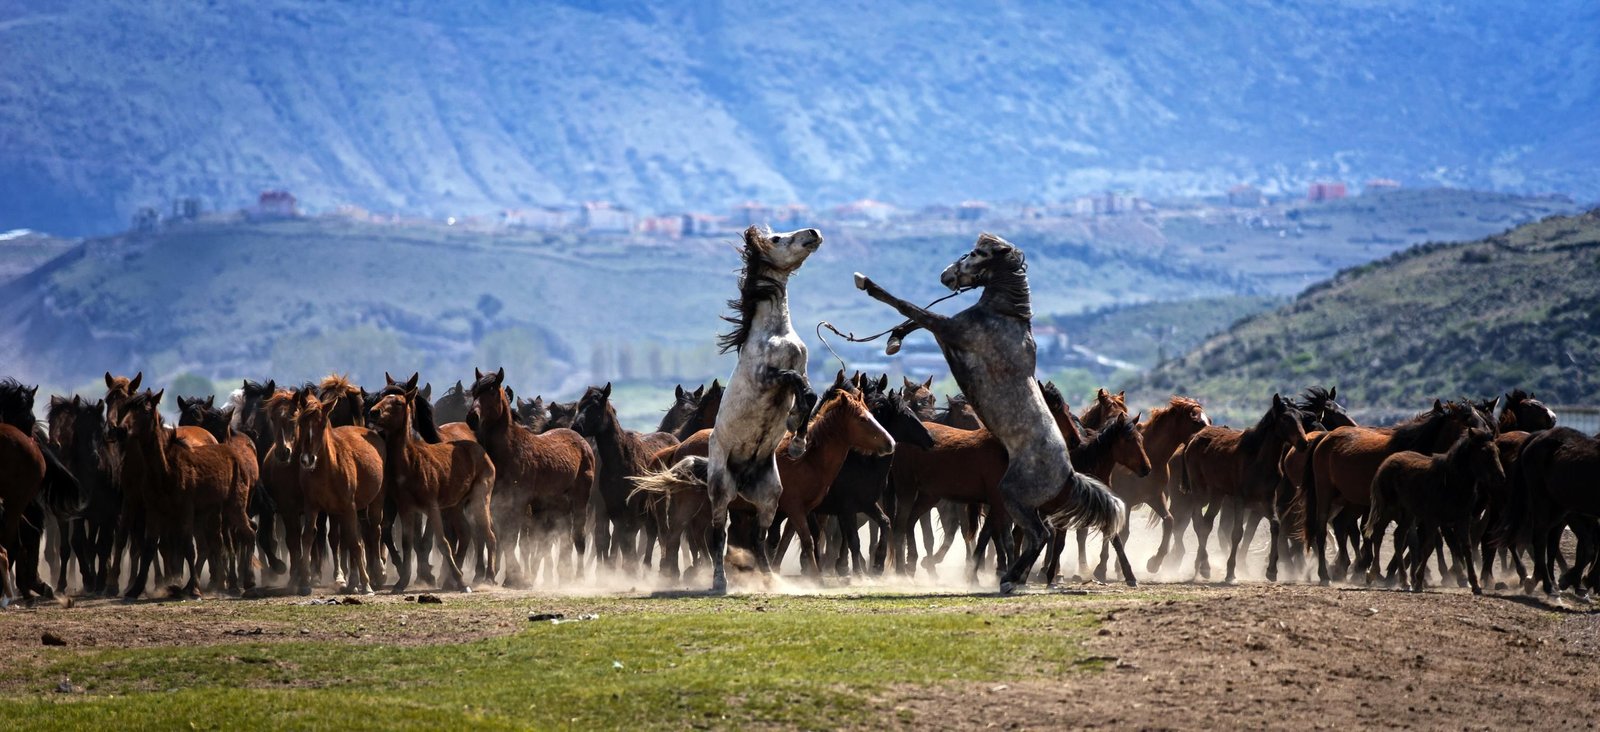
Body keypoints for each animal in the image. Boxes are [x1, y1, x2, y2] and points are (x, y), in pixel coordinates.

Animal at [368, 388, 492, 588]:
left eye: (399, 403)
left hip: (479, 501)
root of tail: (481, 450)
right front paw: (402, 581)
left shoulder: (432, 506)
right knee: (466, 533)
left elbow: (442, 542)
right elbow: (407, 542)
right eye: (381, 398)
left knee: (487, 535)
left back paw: (487, 577)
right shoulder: (405, 507)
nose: (373, 412)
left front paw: (459, 581)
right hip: (456, 506)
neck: (410, 463)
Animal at [467, 369, 595, 584]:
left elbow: (511, 537)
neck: (510, 450)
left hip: (579, 500)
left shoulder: (518, 502)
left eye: (492, 391)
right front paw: (500, 575)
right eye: (474, 392)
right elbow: (499, 536)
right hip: (553, 506)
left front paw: (514, 577)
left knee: (578, 537)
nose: (472, 418)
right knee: (554, 539)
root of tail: (582, 442)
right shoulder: (497, 502)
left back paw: (577, 577)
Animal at [851, 234, 1126, 594]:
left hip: (1010, 498)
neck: (1004, 317)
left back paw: (1009, 578)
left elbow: (912, 309)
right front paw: (894, 339)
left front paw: (867, 284)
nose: (946, 276)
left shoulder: (953, 330)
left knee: (1039, 535)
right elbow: (916, 316)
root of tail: (1067, 473)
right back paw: (1011, 576)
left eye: (978, 253)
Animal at [1299, 397, 1484, 584]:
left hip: (1348, 499)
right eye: (1468, 422)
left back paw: (1346, 567)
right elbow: (1412, 539)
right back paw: (1326, 573)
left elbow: (1413, 539)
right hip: (1325, 494)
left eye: (1482, 420)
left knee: (1340, 525)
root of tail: (1324, 438)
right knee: (1321, 531)